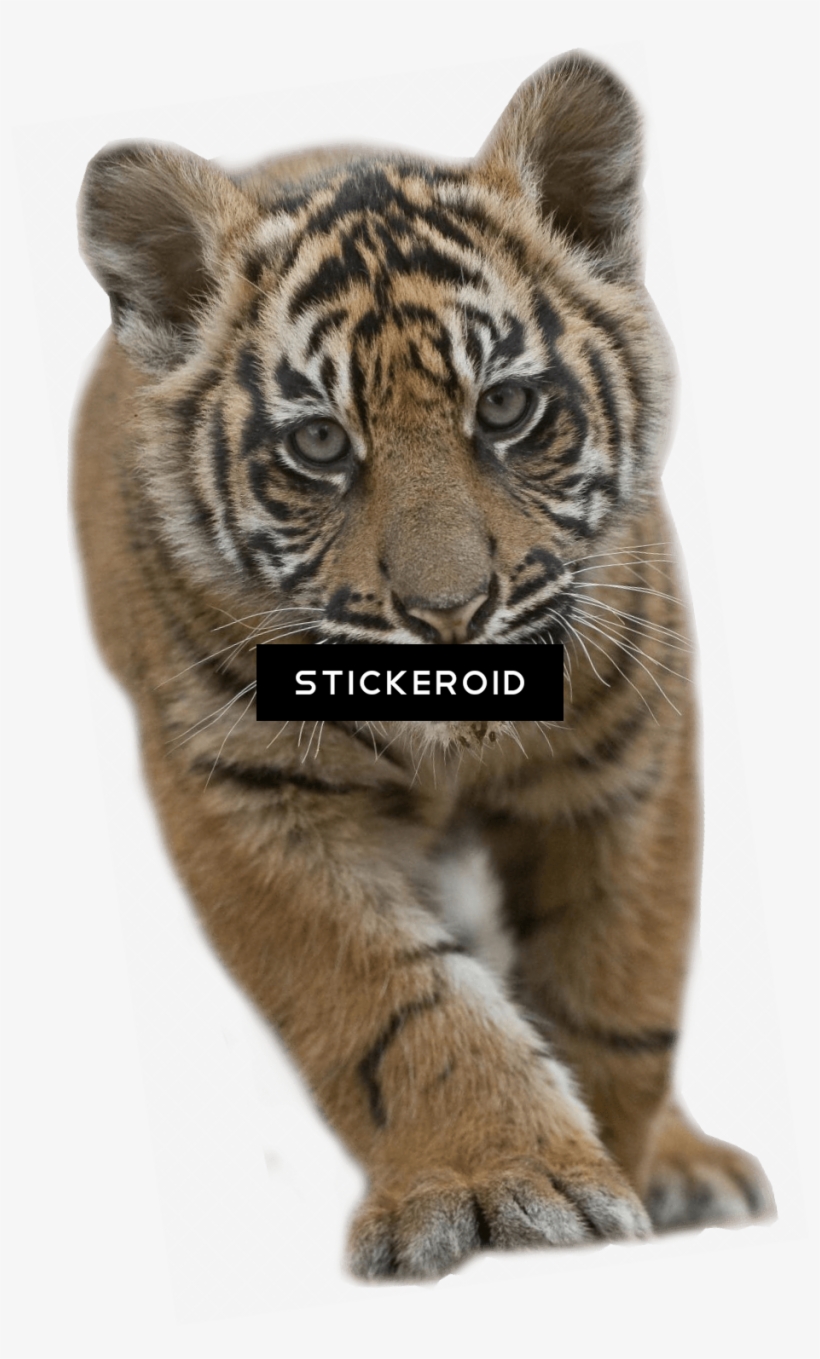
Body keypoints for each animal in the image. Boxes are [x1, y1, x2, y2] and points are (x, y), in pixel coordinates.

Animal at [73, 51, 774, 1279]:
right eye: (318, 443)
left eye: (507, 407)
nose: (449, 613)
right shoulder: (242, 788)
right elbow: (388, 999)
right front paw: (511, 1178)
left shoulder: (631, 749)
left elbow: (616, 981)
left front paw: (618, 1163)